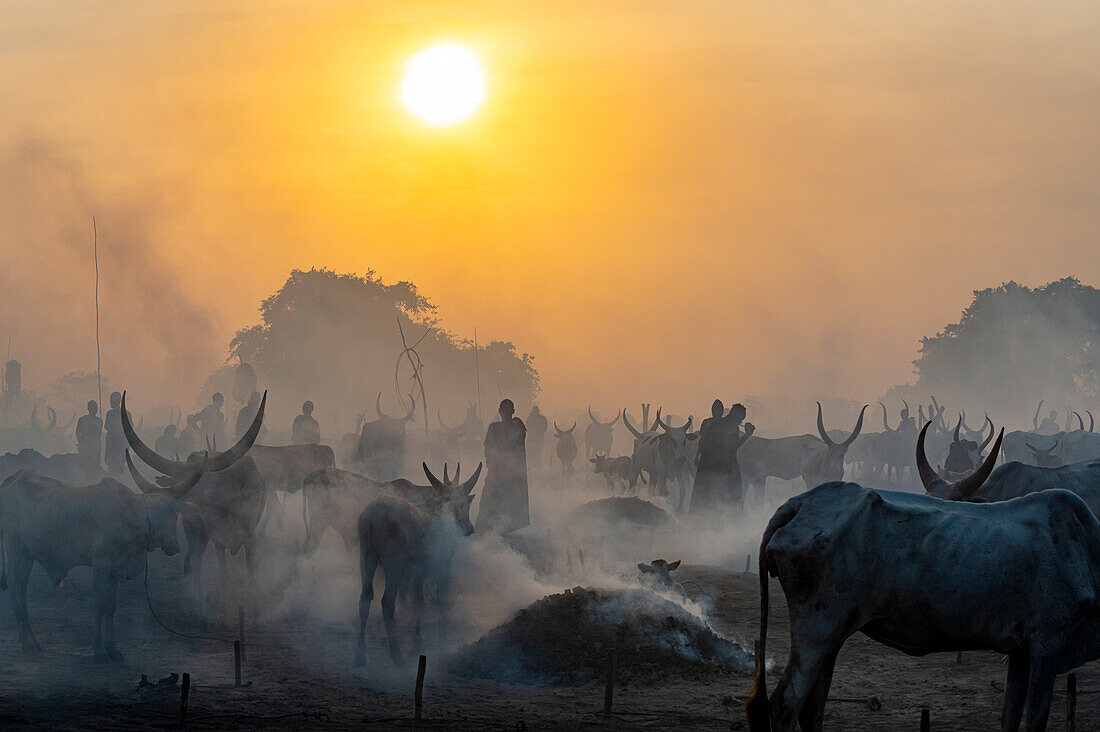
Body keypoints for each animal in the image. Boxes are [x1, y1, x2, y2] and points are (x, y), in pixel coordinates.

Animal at [0, 460, 204, 660]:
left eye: (177, 514)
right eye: (169, 512)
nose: (175, 547)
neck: (130, 514)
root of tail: (11, 479)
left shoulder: (115, 569)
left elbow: (110, 607)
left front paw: (112, 648)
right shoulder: (101, 565)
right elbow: (99, 605)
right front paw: (98, 649)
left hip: (27, 554)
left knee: (22, 589)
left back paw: (32, 641)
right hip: (14, 547)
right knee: (14, 586)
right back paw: (27, 644)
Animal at [121, 394, 267, 603]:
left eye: (196, 481)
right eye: (175, 481)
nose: (180, 508)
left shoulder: (250, 537)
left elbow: (251, 575)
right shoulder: (215, 538)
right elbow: (222, 575)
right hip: (196, 531)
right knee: (196, 561)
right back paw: (196, 595)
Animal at [354, 462, 479, 660]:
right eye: (465, 503)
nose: (469, 528)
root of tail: (370, 517)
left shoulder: (418, 569)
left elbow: (419, 602)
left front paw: (417, 643)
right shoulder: (442, 563)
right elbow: (440, 600)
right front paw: (442, 642)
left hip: (366, 556)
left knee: (365, 598)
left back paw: (360, 653)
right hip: (393, 562)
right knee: (387, 601)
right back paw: (396, 653)